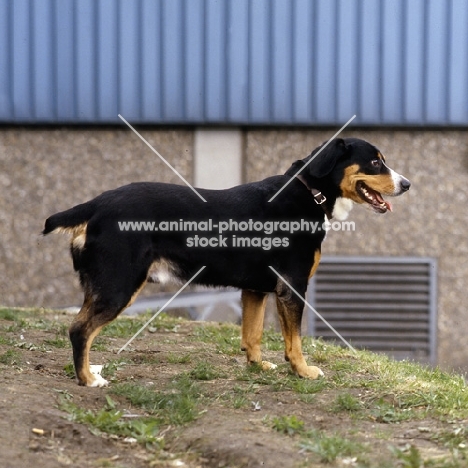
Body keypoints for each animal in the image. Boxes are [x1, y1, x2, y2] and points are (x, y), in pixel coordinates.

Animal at [44, 138, 410, 388]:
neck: (308, 193)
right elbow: (294, 340)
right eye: (375, 162)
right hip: (118, 285)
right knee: (79, 330)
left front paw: (257, 366)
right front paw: (303, 370)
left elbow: (253, 334)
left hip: (102, 286)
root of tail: (96, 205)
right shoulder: (291, 286)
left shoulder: (255, 289)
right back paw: (88, 379)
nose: (407, 184)